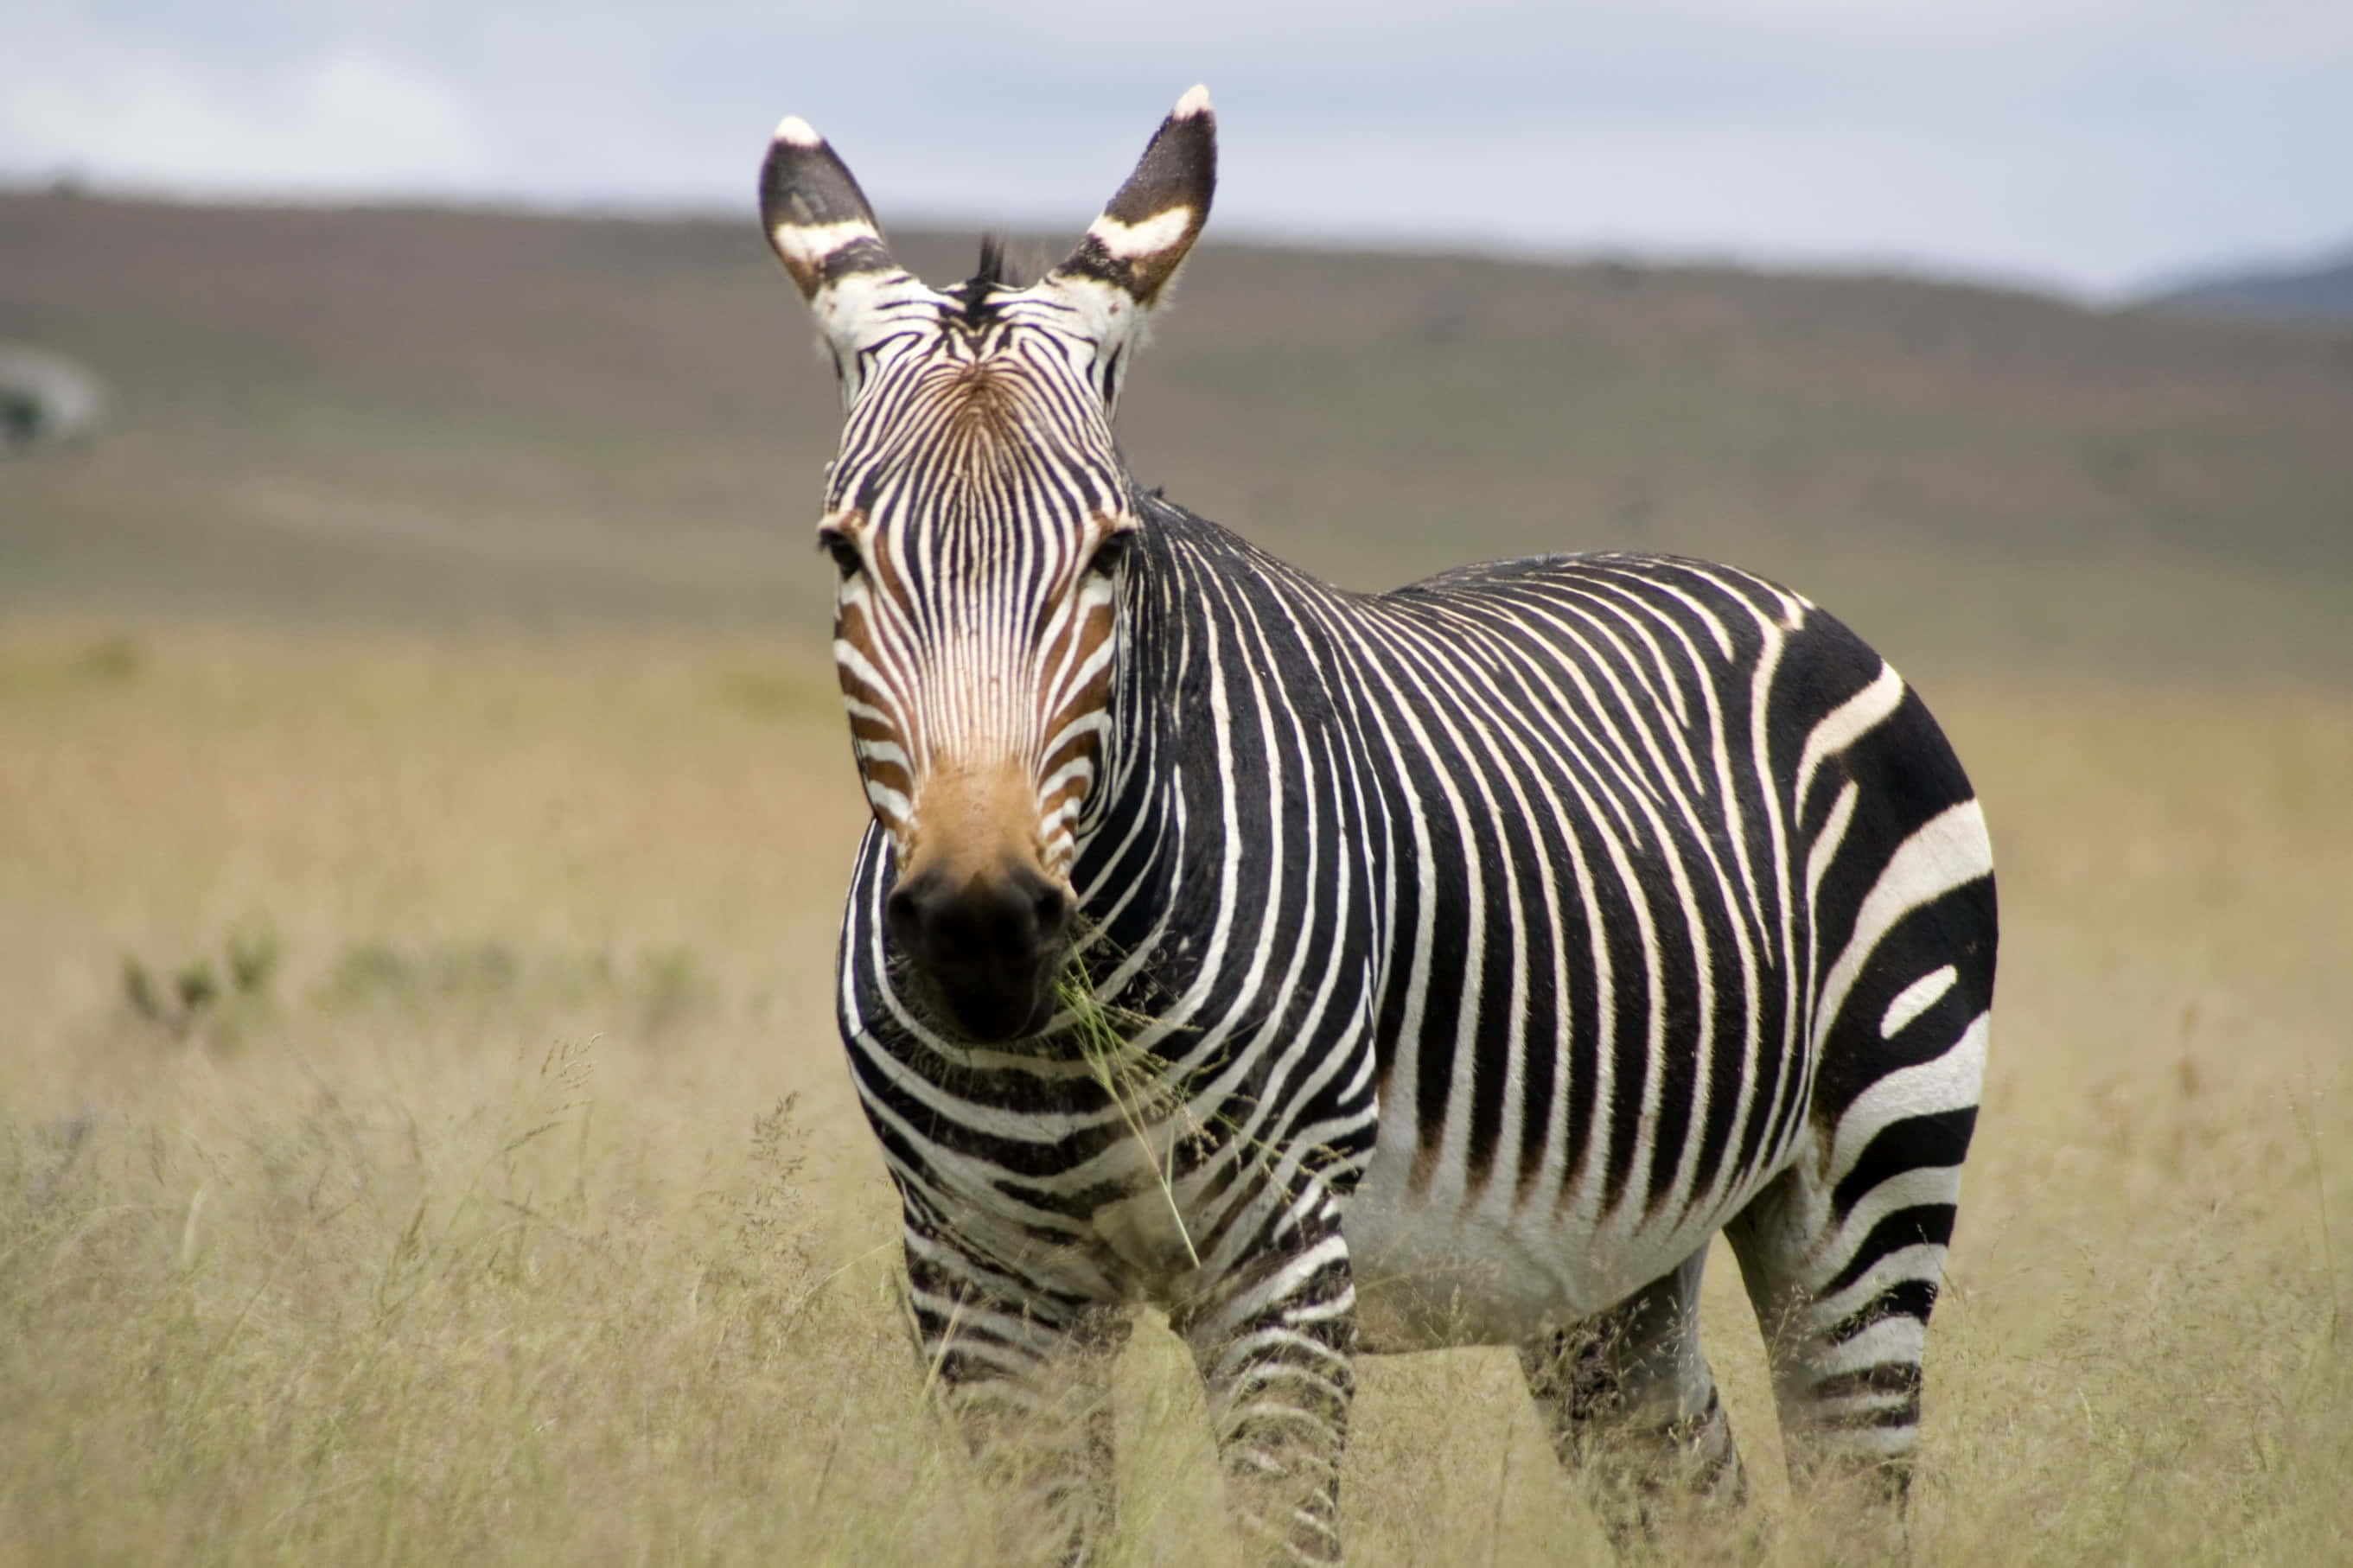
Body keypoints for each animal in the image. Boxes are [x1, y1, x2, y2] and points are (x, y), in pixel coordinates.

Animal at [758, 85, 1995, 1564]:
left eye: (1111, 550)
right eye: (840, 550)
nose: (979, 926)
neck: (1062, 1037)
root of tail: (1776, 593)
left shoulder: (1281, 1256)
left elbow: (1284, 1527)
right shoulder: (975, 1279)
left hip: (1870, 1176)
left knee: (1855, 1469)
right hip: (1616, 1266)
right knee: (1700, 1501)